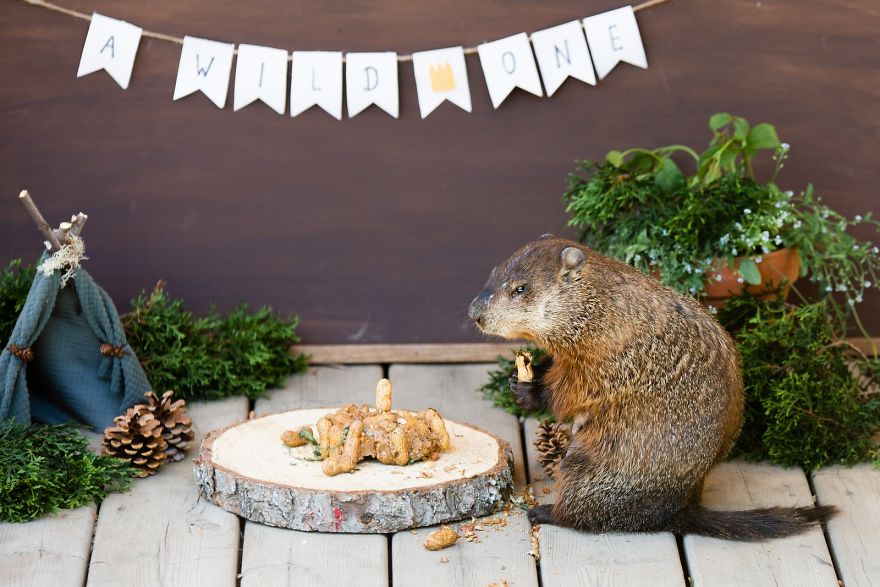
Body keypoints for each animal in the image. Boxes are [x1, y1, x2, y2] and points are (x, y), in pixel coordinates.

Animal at [468, 235, 837, 540]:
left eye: (520, 289)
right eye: (493, 272)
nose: (474, 312)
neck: (596, 306)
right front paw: (521, 375)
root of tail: (677, 510)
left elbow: (577, 387)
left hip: (593, 469)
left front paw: (532, 392)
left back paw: (546, 512)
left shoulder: (610, 352)